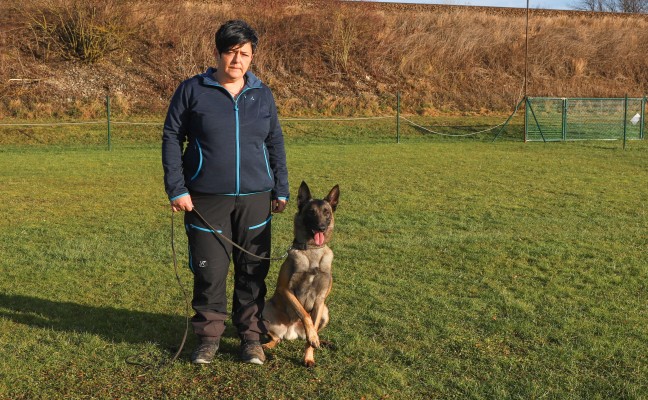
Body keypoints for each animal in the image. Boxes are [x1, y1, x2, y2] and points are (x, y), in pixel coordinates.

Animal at [264, 180, 342, 366]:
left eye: (326, 212)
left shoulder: (320, 300)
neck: (312, 251)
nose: (321, 227)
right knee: (276, 338)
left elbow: (311, 329)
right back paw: (265, 346)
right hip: (265, 308)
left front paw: (309, 356)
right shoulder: (286, 290)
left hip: (326, 311)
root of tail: (290, 334)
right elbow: (304, 314)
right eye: (311, 212)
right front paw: (312, 337)